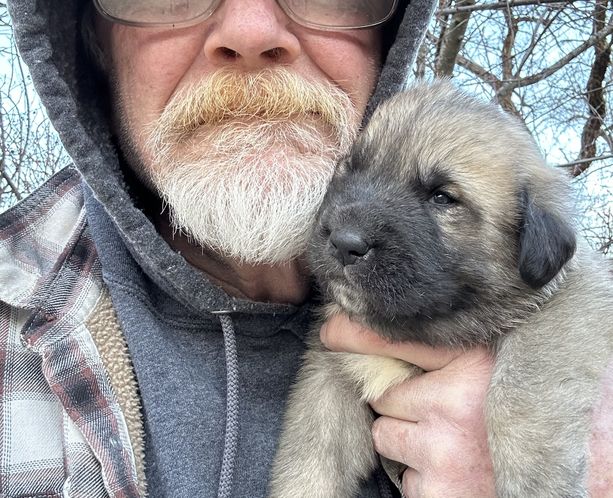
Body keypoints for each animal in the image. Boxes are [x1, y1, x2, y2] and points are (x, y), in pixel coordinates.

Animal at [268, 81, 613, 498]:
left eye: (442, 197)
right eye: (350, 170)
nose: (344, 242)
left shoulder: (575, 304)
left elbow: (519, 393)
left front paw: (538, 481)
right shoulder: (329, 380)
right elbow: (309, 457)